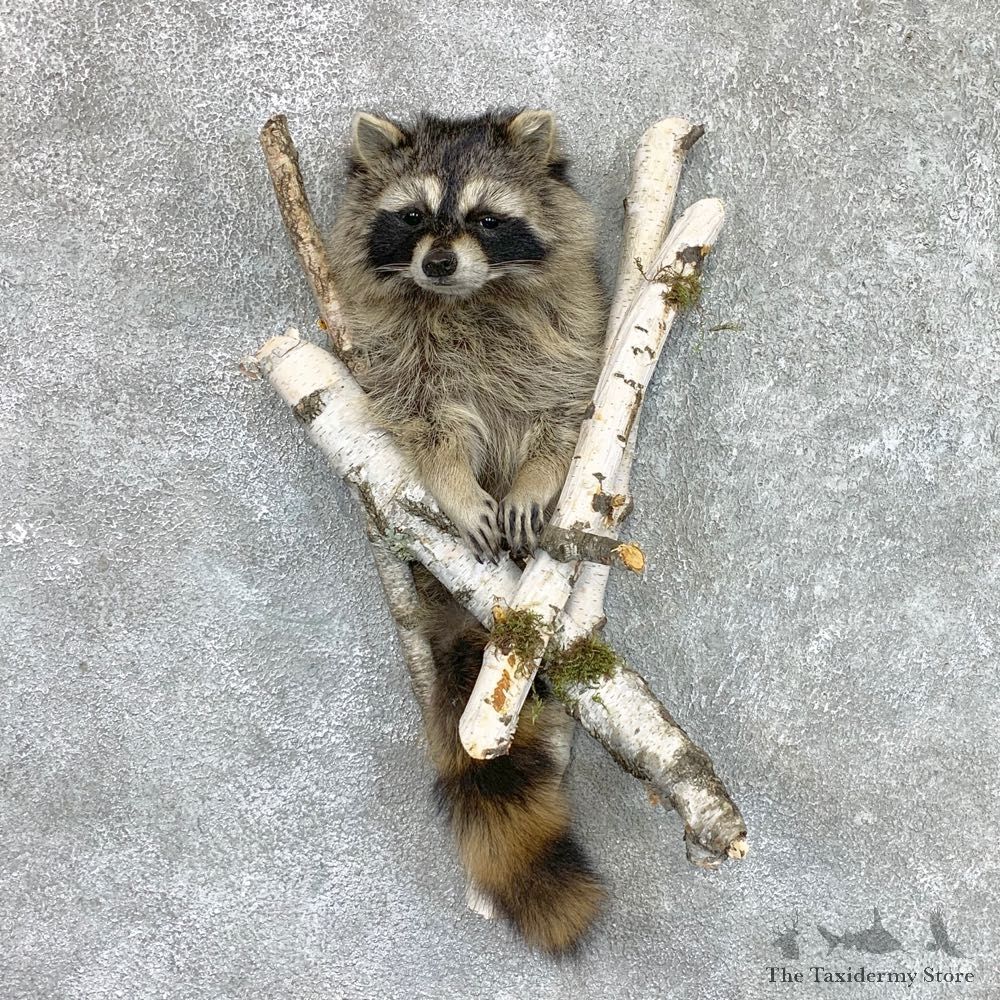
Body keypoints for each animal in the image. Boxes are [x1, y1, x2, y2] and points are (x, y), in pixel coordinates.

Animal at [329, 109, 606, 953]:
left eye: (486, 218)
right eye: (414, 216)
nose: (441, 261)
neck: (468, 295)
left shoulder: (571, 327)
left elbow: (561, 416)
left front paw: (538, 477)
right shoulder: (392, 349)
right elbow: (424, 425)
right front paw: (452, 484)